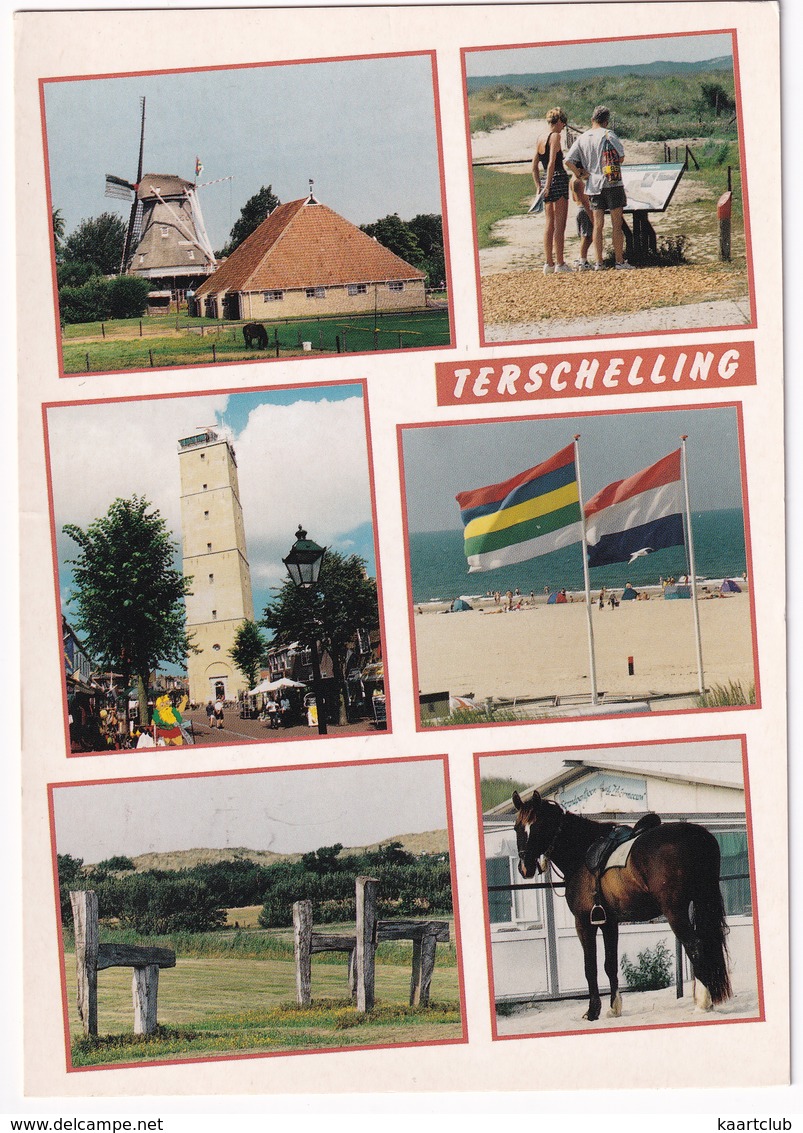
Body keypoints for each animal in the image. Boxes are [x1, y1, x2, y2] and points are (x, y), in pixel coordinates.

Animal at [509, 793, 729, 1024]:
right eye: (516, 827)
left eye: (539, 826)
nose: (525, 867)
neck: (581, 853)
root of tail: (698, 836)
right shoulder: (609, 922)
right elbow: (610, 964)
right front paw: (614, 1009)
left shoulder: (584, 923)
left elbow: (590, 967)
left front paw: (592, 1011)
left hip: (675, 911)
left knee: (695, 946)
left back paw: (702, 1003)